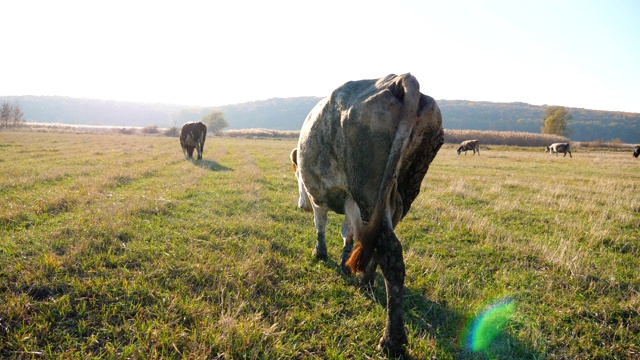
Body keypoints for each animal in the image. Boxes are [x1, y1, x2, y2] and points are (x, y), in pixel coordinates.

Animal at [292, 74, 444, 354]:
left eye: (296, 174)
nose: (300, 204)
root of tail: (399, 79)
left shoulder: (322, 197)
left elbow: (322, 225)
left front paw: (321, 253)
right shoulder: (353, 204)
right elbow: (350, 235)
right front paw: (345, 262)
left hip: (369, 192)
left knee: (391, 254)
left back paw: (392, 340)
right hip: (400, 193)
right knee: (380, 246)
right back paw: (365, 279)